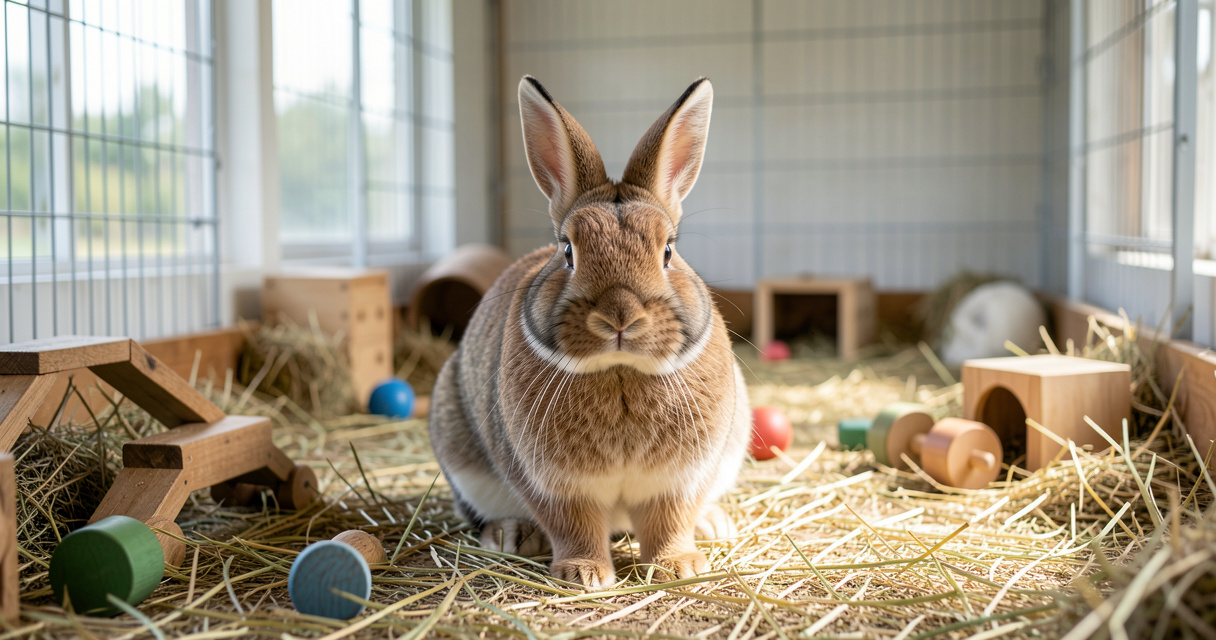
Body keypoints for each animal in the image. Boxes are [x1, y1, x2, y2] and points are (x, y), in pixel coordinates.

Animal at [427, 76, 751, 589]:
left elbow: (670, 520)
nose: (620, 317)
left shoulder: (681, 480)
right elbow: (572, 524)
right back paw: (509, 535)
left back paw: (713, 524)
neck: (619, 369)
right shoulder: (552, 484)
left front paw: (676, 567)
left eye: (668, 251)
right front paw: (584, 575)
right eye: (567, 251)